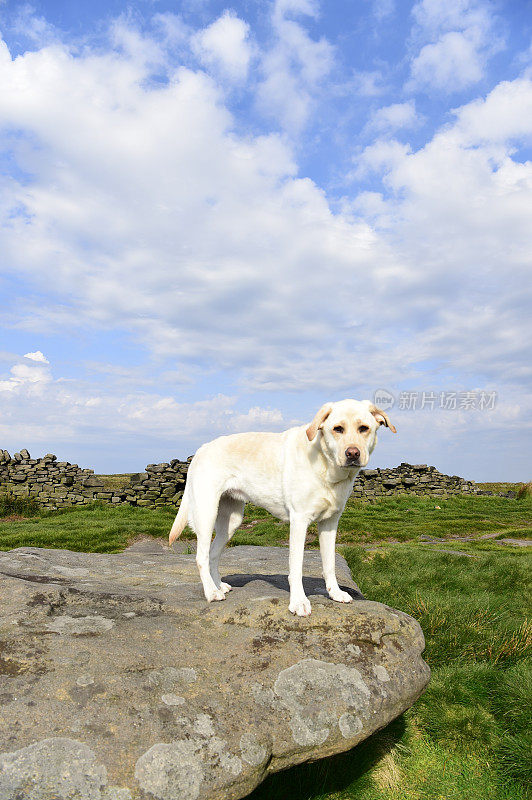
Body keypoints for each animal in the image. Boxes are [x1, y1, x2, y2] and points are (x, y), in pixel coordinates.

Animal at [168, 400, 396, 620]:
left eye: (364, 428)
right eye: (337, 429)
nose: (353, 453)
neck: (326, 465)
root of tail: (201, 449)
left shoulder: (330, 523)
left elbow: (330, 563)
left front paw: (335, 593)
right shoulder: (299, 521)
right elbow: (296, 567)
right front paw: (298, 602)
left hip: (231, 522)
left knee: (213, 554)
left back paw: (218, 586)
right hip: (206, 514)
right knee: (201, 557)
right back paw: (211, 592)